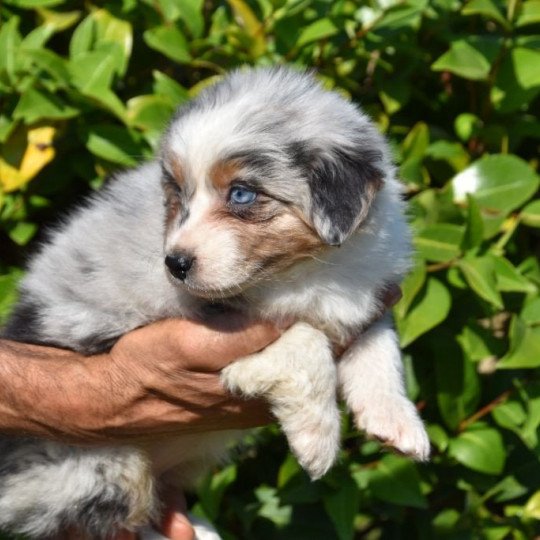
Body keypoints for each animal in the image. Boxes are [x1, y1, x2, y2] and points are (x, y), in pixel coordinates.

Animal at [1, 67, 430, 540]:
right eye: (179, 194)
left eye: (241, 194)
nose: (175, 264)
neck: (307, 268)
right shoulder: (225, 324)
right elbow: (306, 339)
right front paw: (317, 438)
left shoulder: (367, 295)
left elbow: (380, 345)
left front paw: (396, 420)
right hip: (97, 466)